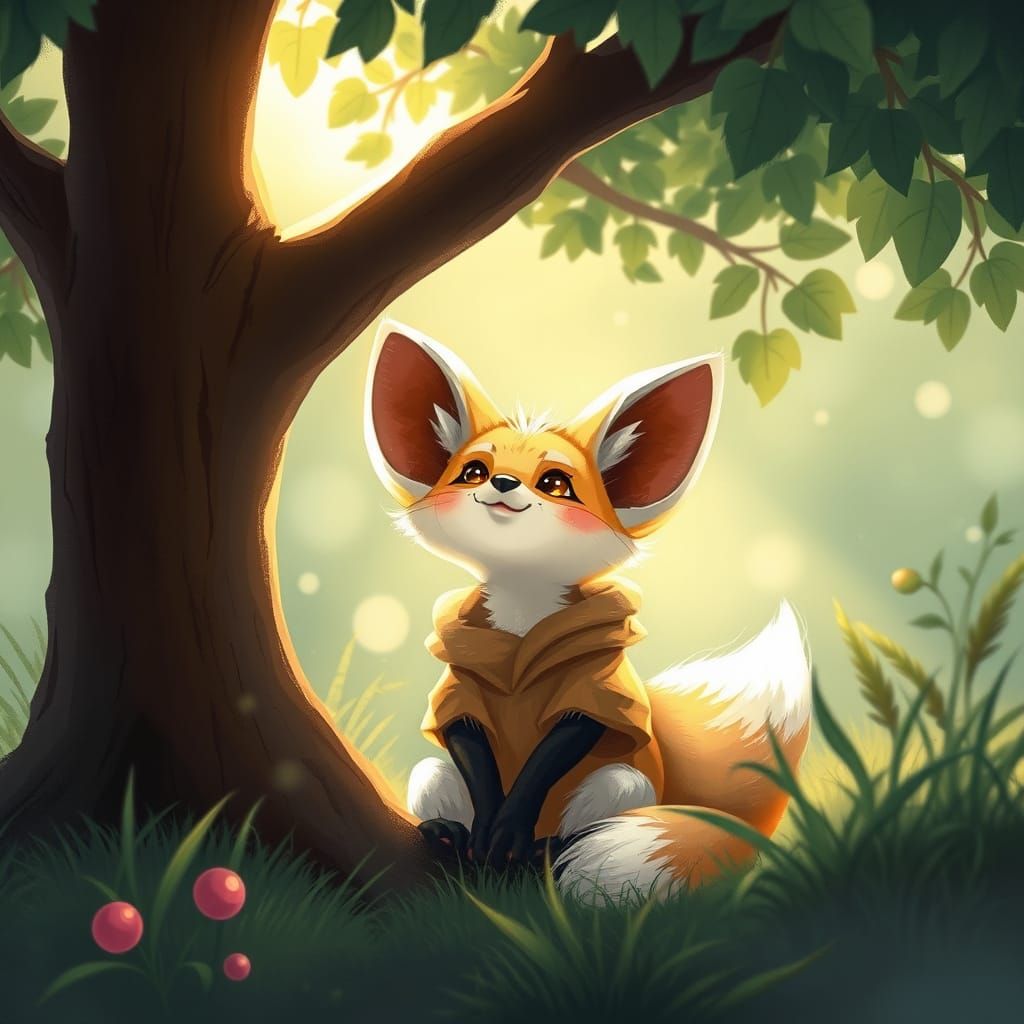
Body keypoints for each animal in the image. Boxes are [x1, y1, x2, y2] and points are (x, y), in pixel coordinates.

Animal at [364, 319, 811, 902]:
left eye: (556, 484)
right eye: (474, 471)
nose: (502, 485)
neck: (521, 619)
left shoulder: (598, 686)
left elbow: (561, 745)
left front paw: (508, 835)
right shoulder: (460, 687)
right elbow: (468, 740)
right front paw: (483, 832)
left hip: (625, 782)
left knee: (590, 815)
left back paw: (544, 848)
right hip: (433, 775)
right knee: (435, 778)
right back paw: (447, 831)